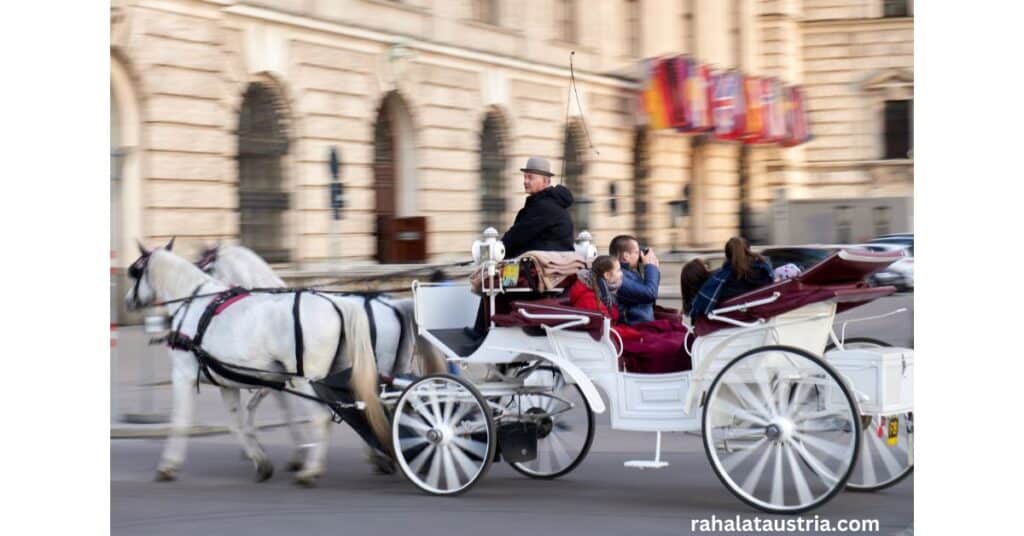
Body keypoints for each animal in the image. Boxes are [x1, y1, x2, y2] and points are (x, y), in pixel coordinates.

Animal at [123, 239, 387, 485]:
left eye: (135, 272)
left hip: (308, 381)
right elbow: (238, 423)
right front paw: (260, 460)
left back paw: (311, 471)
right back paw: (375, 455)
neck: (194, 304)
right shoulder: (228, 382)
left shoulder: (183, 375)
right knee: (359, 407)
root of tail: (337, 304)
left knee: (321, 417)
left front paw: (168, 466)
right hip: (338, 374)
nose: (127, 301)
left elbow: (180, 422)